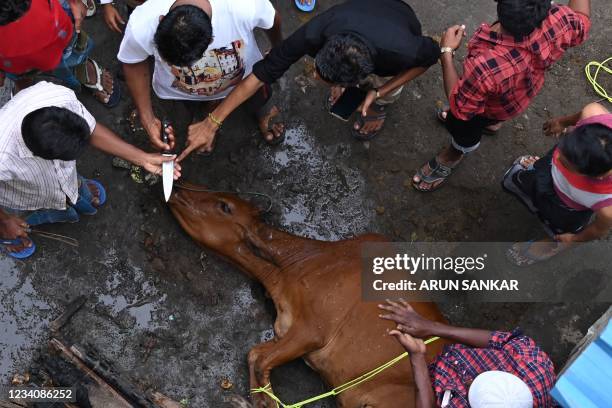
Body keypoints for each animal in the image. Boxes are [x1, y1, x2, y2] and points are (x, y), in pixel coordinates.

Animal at [167, 186, 450, 408]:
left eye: (224, 206)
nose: (178, 189)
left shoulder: (312, 331)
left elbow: (260, 360)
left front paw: (267, 402)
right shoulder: (286, 329)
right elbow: (254, 353)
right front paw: (260, 398)